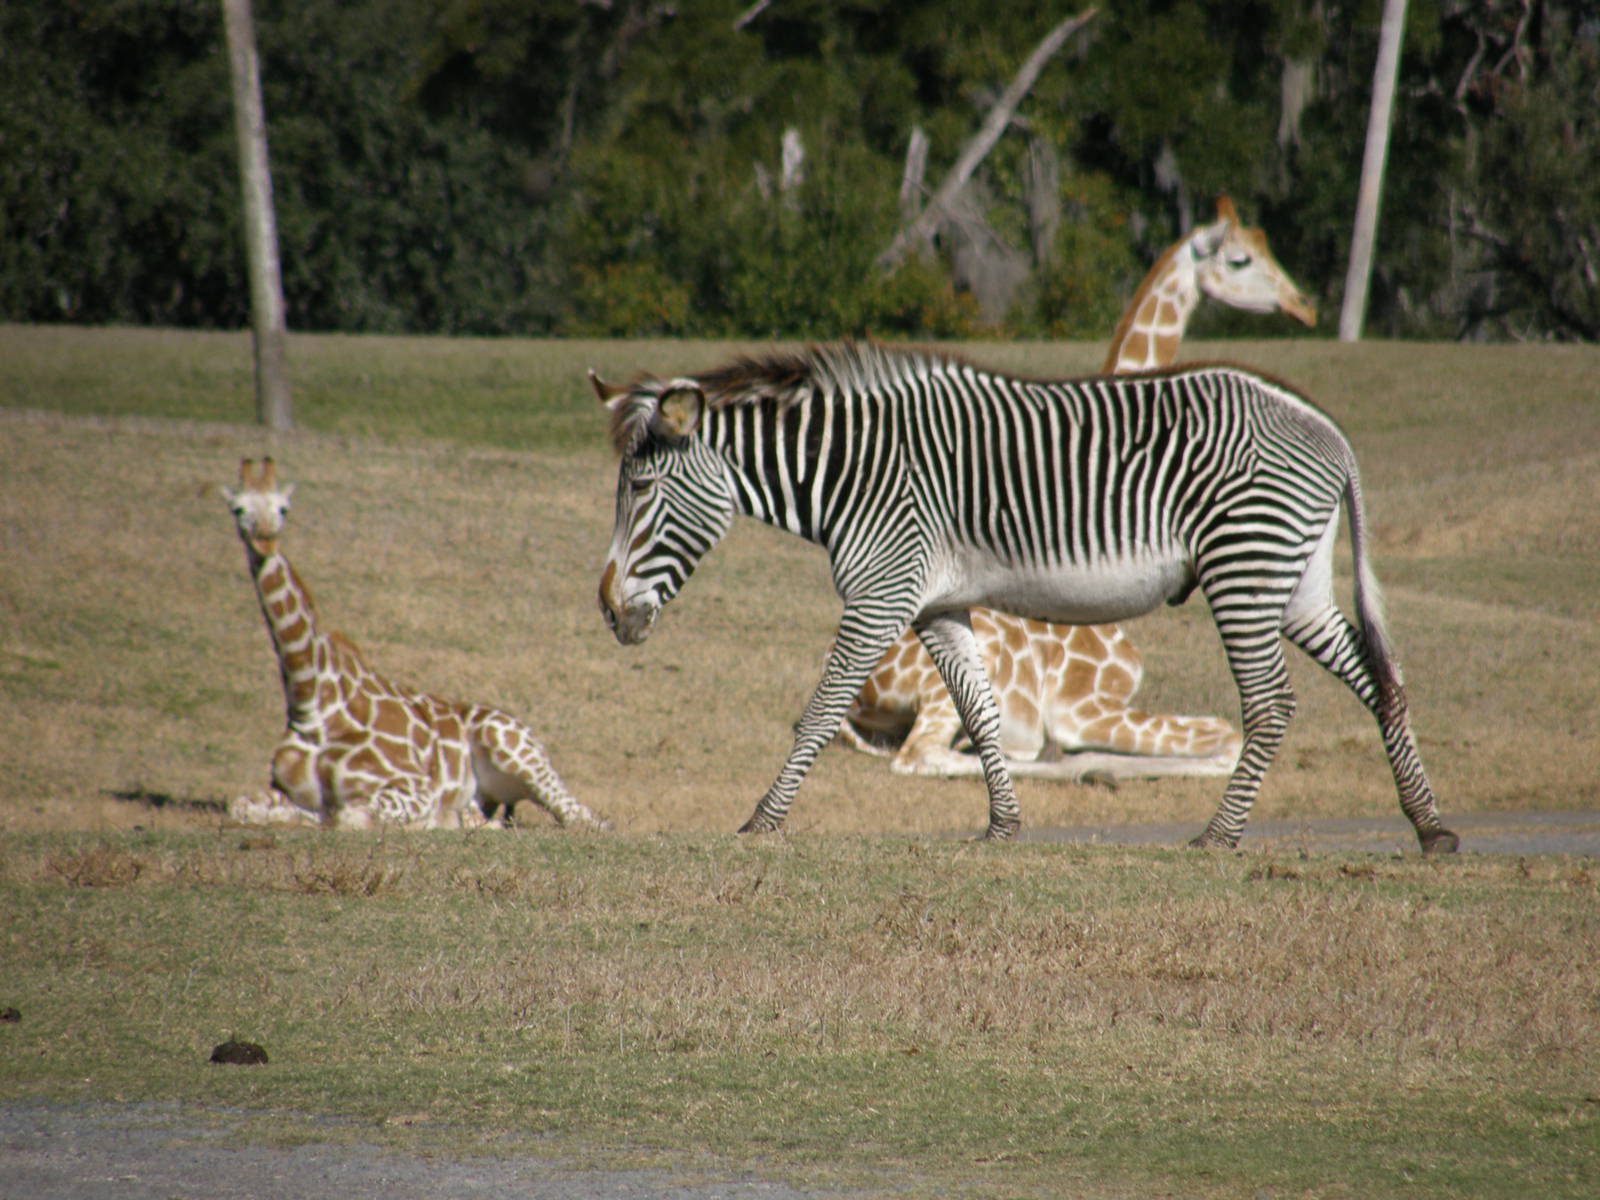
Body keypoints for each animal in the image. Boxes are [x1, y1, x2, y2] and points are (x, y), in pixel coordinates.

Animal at [591, 342, 1458, 854]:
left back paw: (1219, 835)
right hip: (1294, 582)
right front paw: (1004, 825)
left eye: (641, 489)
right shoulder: (935, 606)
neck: (851, 473)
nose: (607, 612)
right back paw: (1430, 826)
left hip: (1245, 570)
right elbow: (979, 711)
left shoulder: (880, 592)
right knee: (1383, 682)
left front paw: (762, 821)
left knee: (1274, 703)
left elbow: (822, 707)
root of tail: (1327, 428)